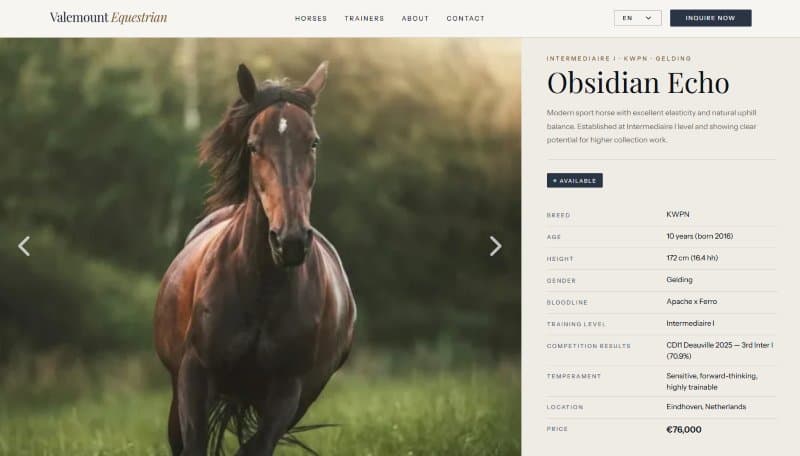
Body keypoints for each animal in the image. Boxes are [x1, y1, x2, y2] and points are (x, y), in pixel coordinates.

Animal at [153, 61, 357, 456]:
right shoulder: (194, 375)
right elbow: (194, 444)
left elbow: (255, 447)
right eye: (253, 145)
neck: (260, 287)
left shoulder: (287, 392)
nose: (290, 240)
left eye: (313, 142)